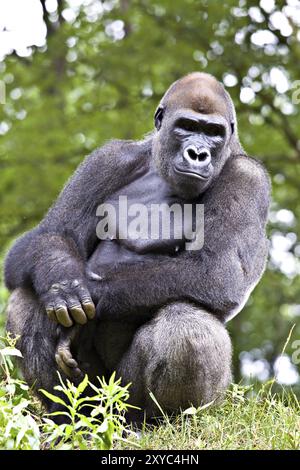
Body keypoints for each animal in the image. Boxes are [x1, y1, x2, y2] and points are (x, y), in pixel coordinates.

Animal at [3, 73, 270, 422]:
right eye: (186, 125)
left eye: (214, 132)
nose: (198, 153)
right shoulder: (107, 159)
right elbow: (50, 235)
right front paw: (61, 279)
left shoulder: (248, 179)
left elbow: (216, 271)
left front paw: (88, 290)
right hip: (95, 395)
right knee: (26, 294)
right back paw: (66, 416)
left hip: (128, 396)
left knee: (186, 326)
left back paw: (160, 421)